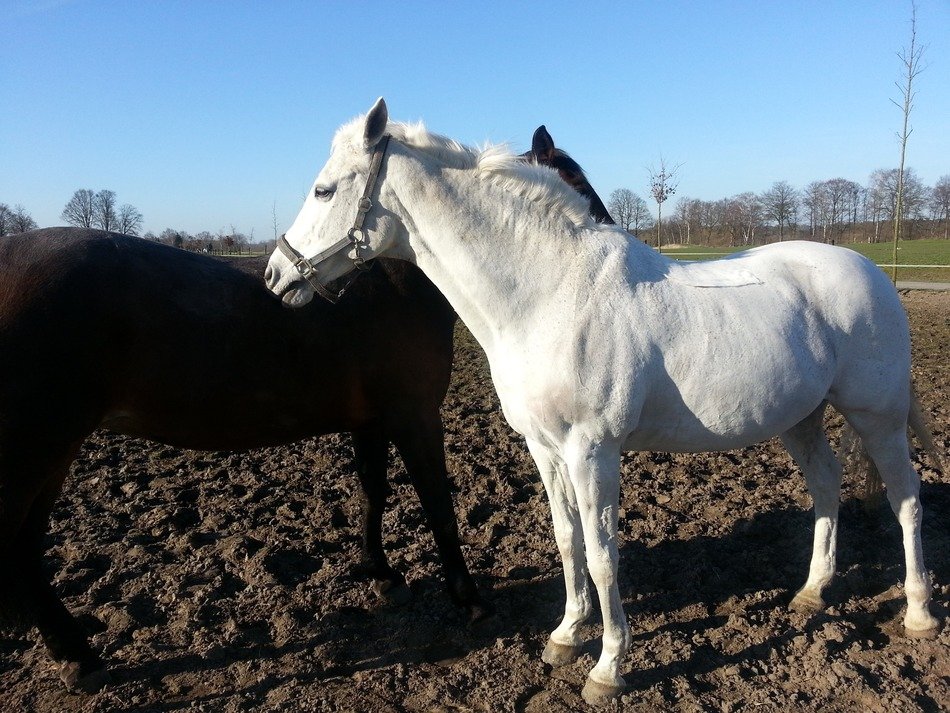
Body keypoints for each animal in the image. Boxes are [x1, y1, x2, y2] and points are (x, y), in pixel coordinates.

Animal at [0, 130, 613, 692]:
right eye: (574, 185)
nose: (612, 247)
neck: (392, 274)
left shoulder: (370, 421)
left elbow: (373, 493)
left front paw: (380, 574)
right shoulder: (415, 416)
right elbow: (438, 504)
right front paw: (468, 599)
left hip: (53, 452)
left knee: (24, 549)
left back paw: (74, 652)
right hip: (36, 449)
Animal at [264, 98, 941, 705]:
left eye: (323, 190)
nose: (276, 275)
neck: (549, 295)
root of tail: (872, 274)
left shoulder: (592, 450)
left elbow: (602, 553)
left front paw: (609, 666)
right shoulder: (545, 448)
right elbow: (567, 540)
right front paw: (566, 635)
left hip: (878, 418)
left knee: (906, 500)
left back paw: (918, 613)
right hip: (800, 418)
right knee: (827, 486)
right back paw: (812, 591)